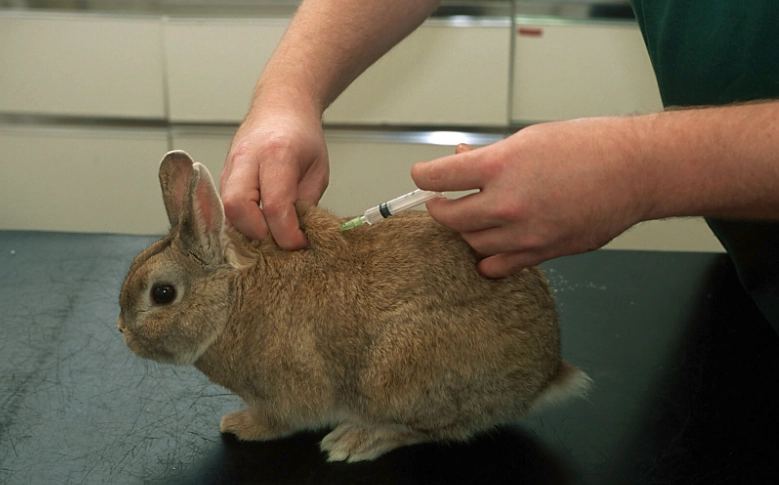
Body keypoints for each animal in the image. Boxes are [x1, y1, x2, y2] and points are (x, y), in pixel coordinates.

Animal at [118, 150, 591, 463]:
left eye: (162, 294)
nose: (122, 331)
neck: (233, 299)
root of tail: (546, 371)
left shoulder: (285, 394)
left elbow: (278, 421)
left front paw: (237, 425)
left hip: (396, 369)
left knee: (432, 429)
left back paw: (354, 442)